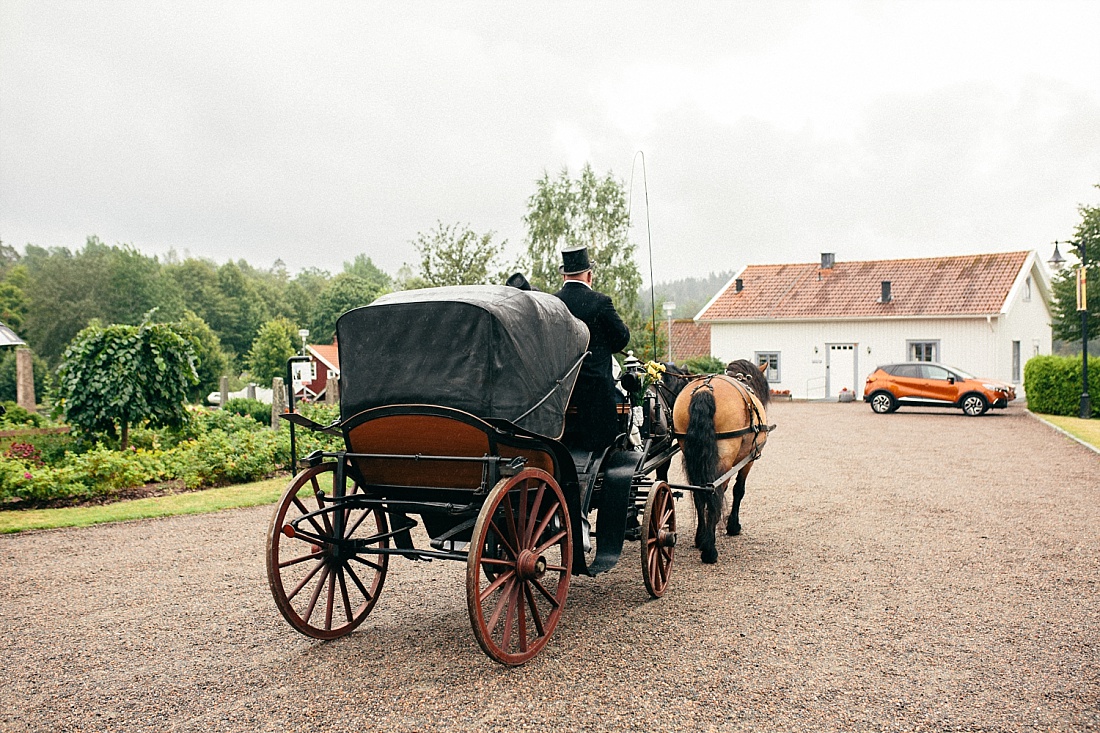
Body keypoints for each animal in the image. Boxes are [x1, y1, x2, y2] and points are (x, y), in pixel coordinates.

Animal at [664, 358, 770, 559]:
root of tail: (705, 389)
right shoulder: (749, 460)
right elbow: (738, 490)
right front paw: (733, 526)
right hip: (725, 456)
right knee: (715, 491)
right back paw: (709, 550)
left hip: (691, 453)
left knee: (699, 493)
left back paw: (700, 538)